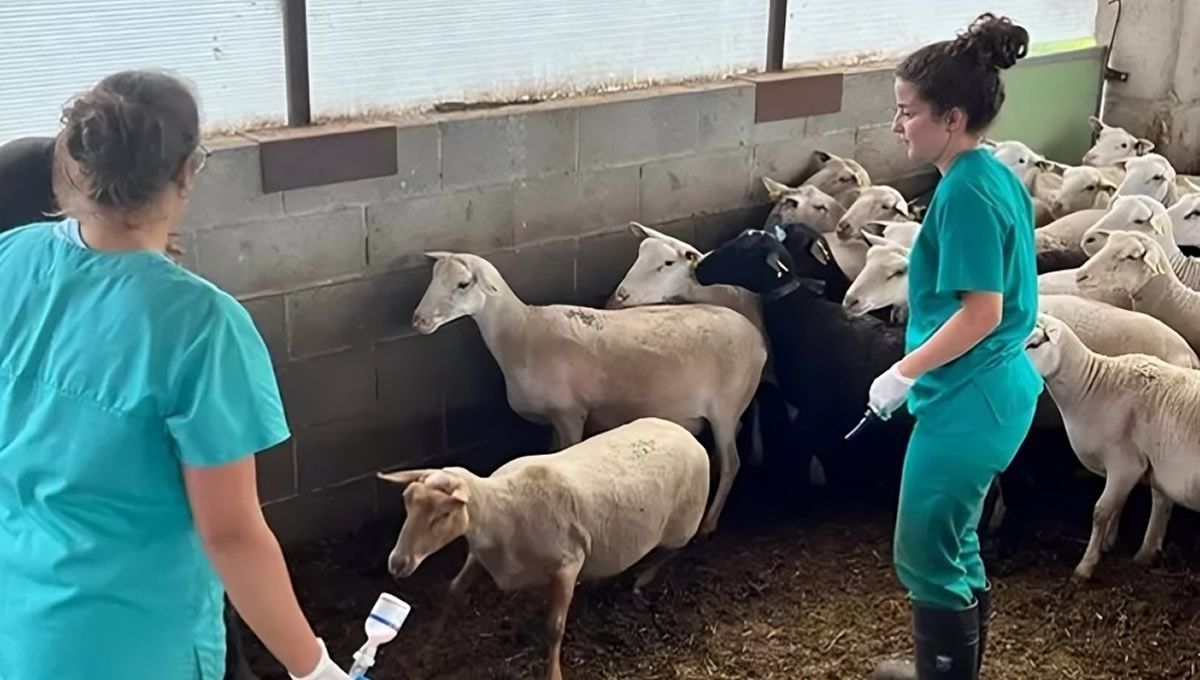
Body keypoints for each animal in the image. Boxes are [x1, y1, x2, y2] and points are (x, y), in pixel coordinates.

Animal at [379, 417, 705, 680]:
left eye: (444, 514)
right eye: (407, 501)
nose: (397, 563)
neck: (501, 513)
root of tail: (684, 432)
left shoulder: (567, 564)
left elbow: (555, 627)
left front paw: (554, 673)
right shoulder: (479, 555)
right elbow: (454, 591)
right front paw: (426, 652)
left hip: (684, 523)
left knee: (676, 549)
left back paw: (642, 578)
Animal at [415, 251, 768, 537]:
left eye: (462, 284)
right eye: (432, 279)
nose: (418, 320)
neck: (523, 333)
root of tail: (757, 339)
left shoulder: (571, 413)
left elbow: (566, 454)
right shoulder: (555, 419)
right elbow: (551, 451)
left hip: (725, 407)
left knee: (734, 461)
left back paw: (709, 521)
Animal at [1022, 314, 1200, 580]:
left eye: (1033, 344)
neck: (1091, 387)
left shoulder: (1125, 463)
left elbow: (1101, 511)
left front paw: (1085, 566)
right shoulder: (1133, 466)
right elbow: (1119, 505)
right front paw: (1108, 543)